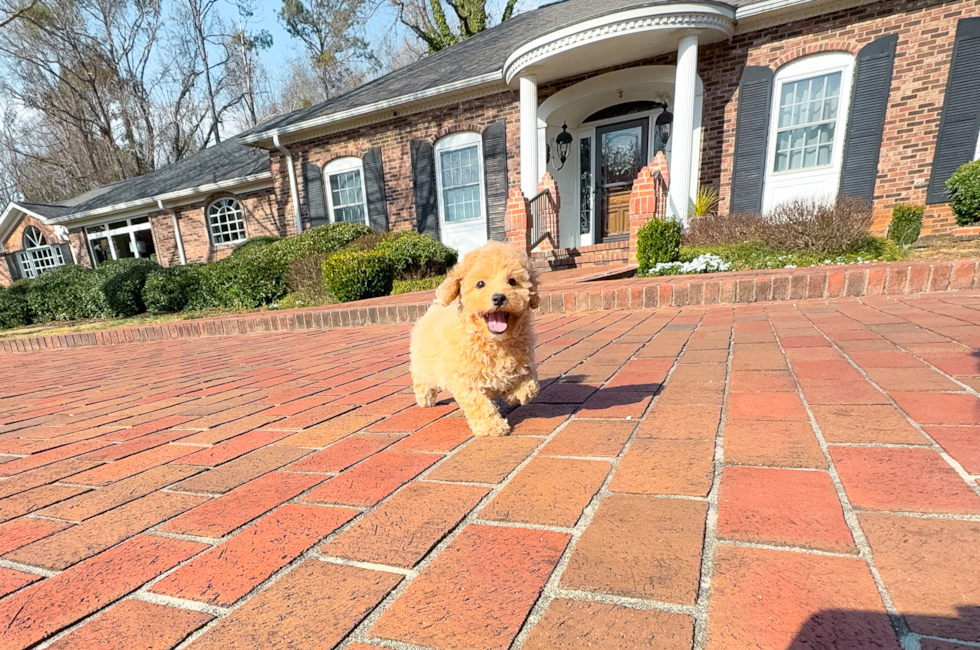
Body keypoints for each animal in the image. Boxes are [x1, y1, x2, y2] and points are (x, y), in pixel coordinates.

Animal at [408, 239, 540, 436]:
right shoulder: (466, 380)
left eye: (512, 281)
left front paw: (514, 393)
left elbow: (529, 384)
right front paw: (493, 426)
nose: (499, 298)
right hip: (424, 361)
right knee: (422, 378)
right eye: (480, 284)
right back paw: (425, 398)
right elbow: (479, 404)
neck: (494, 341)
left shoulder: (523, 358)